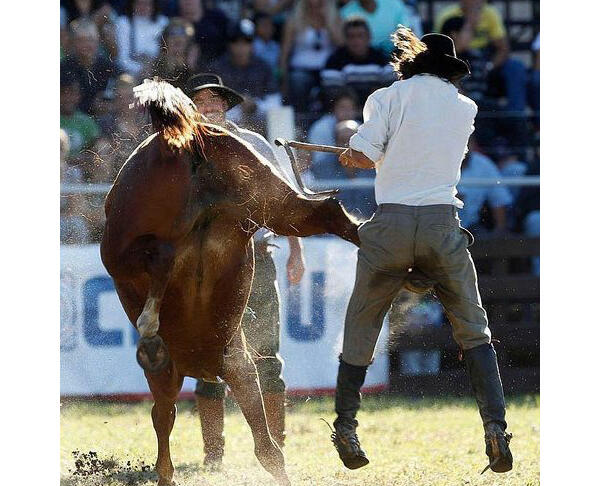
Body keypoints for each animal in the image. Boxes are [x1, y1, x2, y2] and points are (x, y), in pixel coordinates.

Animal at [100, 80, 360, 486]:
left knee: (159, 256)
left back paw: (150, 326)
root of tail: (184, 142)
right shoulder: (237, 364)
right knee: (326, 213)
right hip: (270, 199)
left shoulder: (220, 366)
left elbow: (167, 418)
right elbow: (266, 446)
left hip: (120, 245)